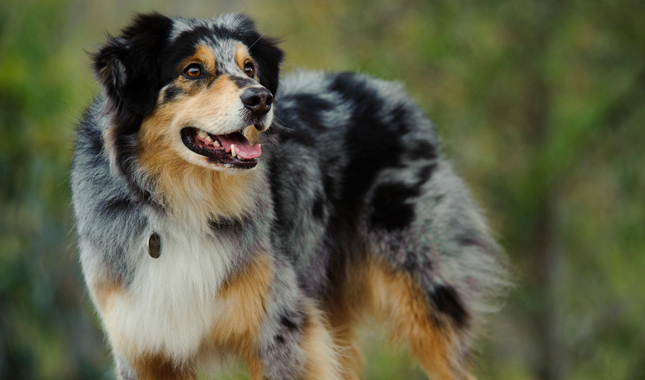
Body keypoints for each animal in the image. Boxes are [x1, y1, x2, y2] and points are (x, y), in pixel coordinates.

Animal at [71, 11, 508, 380]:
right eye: (193, 70)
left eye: (249, 68)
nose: (261, 98)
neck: (183, 202)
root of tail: (387, 89)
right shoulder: (144, 345)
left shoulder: (282, 328)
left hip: (427, 294)